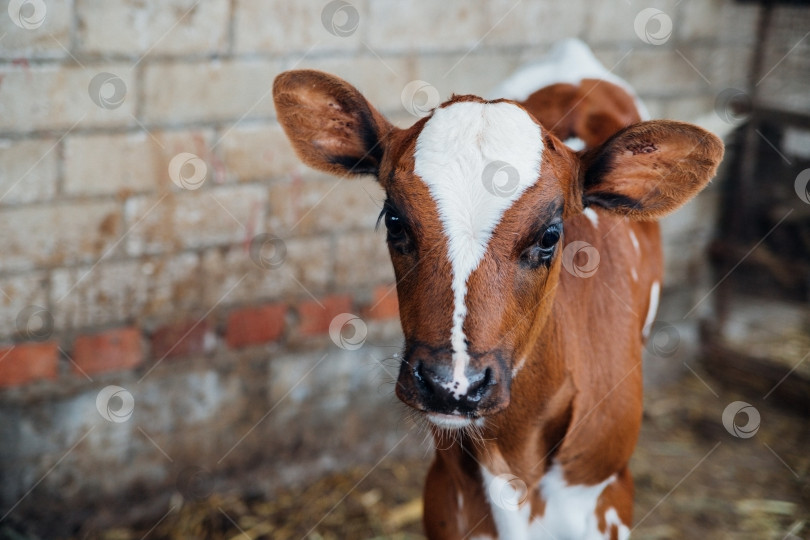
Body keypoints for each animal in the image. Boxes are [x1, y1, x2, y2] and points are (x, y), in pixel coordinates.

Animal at [272, 40, 720, 536]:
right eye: (395, 220)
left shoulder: (611, 493)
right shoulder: (446, 494)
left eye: (549, 235)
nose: (451, 385)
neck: (515, 455)